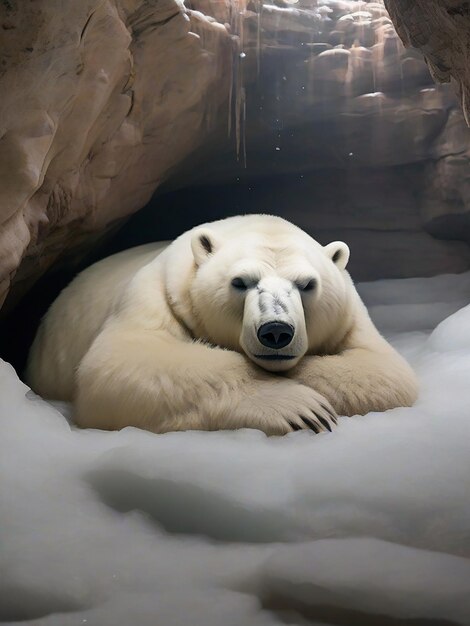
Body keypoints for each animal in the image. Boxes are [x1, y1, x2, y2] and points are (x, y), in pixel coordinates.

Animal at [26, 214, 418, 434]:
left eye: (307, 284)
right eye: (240, 282)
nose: (276, 331)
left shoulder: (351, 314)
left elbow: (385, 372)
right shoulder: (159, 293)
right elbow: (120, 365)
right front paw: (301, 408)